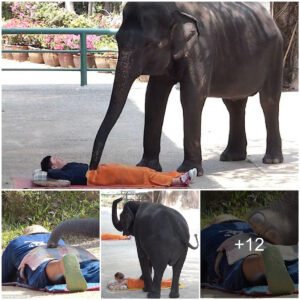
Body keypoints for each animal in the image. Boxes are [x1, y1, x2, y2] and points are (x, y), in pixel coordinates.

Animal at [89, 2, 284, 176]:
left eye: (149, 45)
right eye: (117, 40)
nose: (93, 170)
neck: (175, 9)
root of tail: (270, 18)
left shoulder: (201, 49)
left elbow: (192, 96)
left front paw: (189, 171)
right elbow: (154, 96)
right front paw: (146, 168)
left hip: (275, 55)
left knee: (268, 101)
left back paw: (272, 160)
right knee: (234, 104)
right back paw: (231, 157)